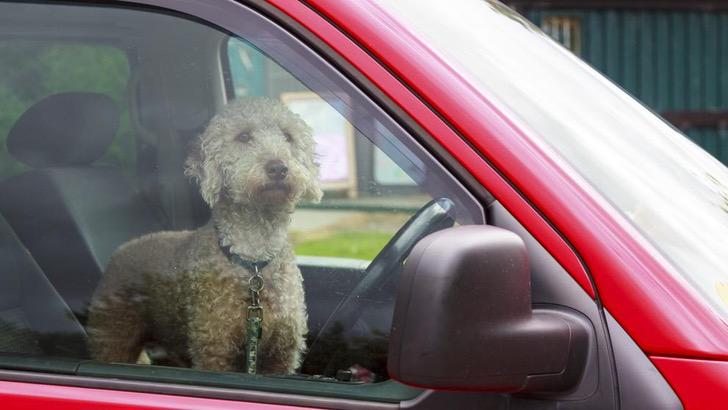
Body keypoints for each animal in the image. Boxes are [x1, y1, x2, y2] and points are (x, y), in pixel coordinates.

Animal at [87, 97, 322, 374]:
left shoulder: (282, 354)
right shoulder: (213, 347)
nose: (278, 167)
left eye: (288, 136)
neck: (252, 258)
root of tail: (120, 250)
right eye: (243, 136)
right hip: (113, 334)